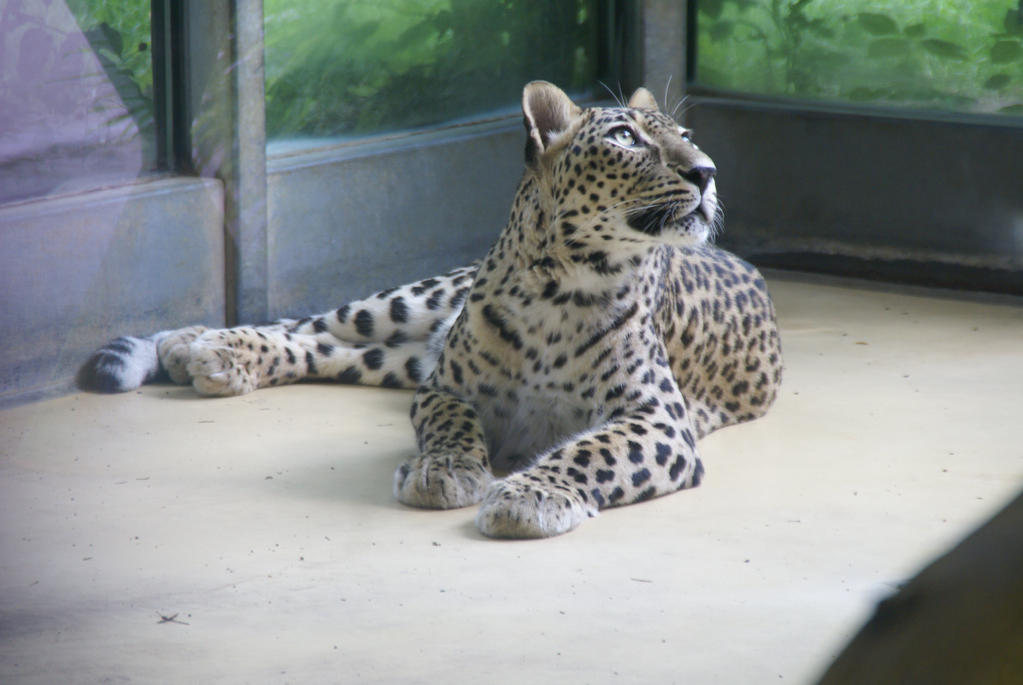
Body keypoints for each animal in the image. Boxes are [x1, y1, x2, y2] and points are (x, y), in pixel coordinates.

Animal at [80, 81, 783, 539]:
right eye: (626, 138)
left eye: (688, 138)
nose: (707, 172)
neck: (564, 287)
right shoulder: (445, 388)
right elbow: (453, 425)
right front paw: (443, 471)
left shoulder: (658, 421)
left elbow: (590, 452)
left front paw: (528, 495)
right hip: (409, 305)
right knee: (311, 326)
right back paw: (201, 345)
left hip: (393, 361)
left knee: (329, 350)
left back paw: (198, 354)